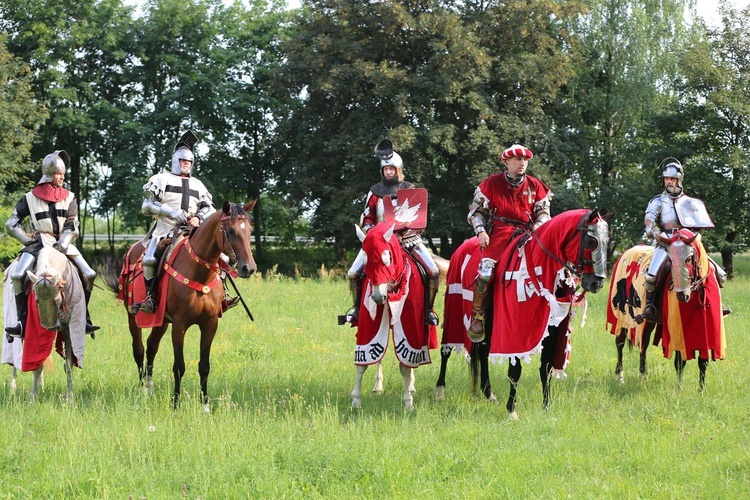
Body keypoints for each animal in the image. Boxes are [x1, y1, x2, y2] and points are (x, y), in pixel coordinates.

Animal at [107, 200, 258, 410]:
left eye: (250, 230)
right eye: (231, 231)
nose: (248, 268)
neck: (199, 274)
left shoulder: (210, 324)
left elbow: (204, 366)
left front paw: (205, 405)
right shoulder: (179, 325)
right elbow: (179, 366)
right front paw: (175, 403)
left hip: (161, 321)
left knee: (152, 346)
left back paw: (149, 388)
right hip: (133, 317)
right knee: (139, 349)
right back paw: (142, 391)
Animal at [352, 223, 440, 410]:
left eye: (388, 259)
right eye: (366, 261)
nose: (378, 297)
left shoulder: (411, 325)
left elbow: (406, 365)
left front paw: (408, 402)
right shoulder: (368, 326)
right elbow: (363, 363)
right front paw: (355, 400)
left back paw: (411, 386)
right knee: (380, 356)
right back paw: (378, 386)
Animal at [440, 208, 612, 418]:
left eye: (607, 241)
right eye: (591, 241)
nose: (597, 283)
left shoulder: (552, 331)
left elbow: (546, 368)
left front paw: (546, 406)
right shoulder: (514, 332)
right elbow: (515, 370)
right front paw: (512, 410)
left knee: (483, 351)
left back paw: (488, 393)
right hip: (454, 311)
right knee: (446, 350)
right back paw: (440, 390)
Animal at [604, 229, 728, 388]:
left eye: (689, 259)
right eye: (671, 260)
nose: (682, 295)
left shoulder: (706, 331)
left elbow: (703, 361)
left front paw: (701, 389)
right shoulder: (678, 331)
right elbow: (680, 361)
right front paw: (680, 388)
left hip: (649, 320)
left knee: (643, 344)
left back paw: (641, 376)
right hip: (623, 318)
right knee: (621, 343)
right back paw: (622, 376)